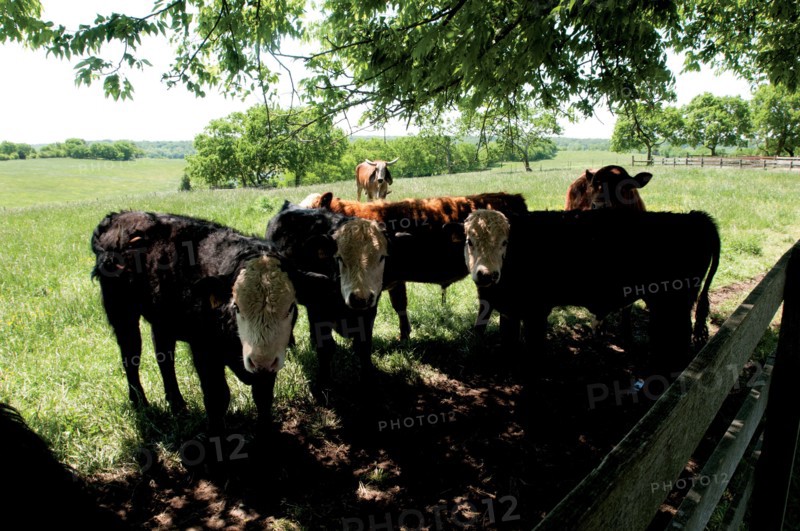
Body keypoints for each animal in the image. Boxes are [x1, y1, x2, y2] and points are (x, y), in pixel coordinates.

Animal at [92, 211, 302, 435]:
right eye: (236, 306)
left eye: (291, 307)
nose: (261, 360)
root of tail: (115, 217)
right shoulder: (204, 350)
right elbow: (218, 397)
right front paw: (217, 435)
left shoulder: (270, 357)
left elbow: (263, 396)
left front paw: (266, 433)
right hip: (122, 314)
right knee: (131, 356)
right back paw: (140, 403)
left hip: (162, 322)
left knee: (164, 357)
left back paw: (177, 405)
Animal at [265, 202, 389, 384]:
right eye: (339, 258)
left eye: (381, 257)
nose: (360, 298)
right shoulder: (319, 310)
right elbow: (326, 348)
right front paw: (324, 380)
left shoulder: (370, 311)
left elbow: (364, 346)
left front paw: (369, 374)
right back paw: (291, 345)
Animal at [462, 208, 720, 379]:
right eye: (469, 241)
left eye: (505, 242)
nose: (486, 274)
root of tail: (696, 217)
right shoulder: (510, 311)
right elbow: (508, 342)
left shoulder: (536, 311)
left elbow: (535, 346)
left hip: (674, 301)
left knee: (678, 335)